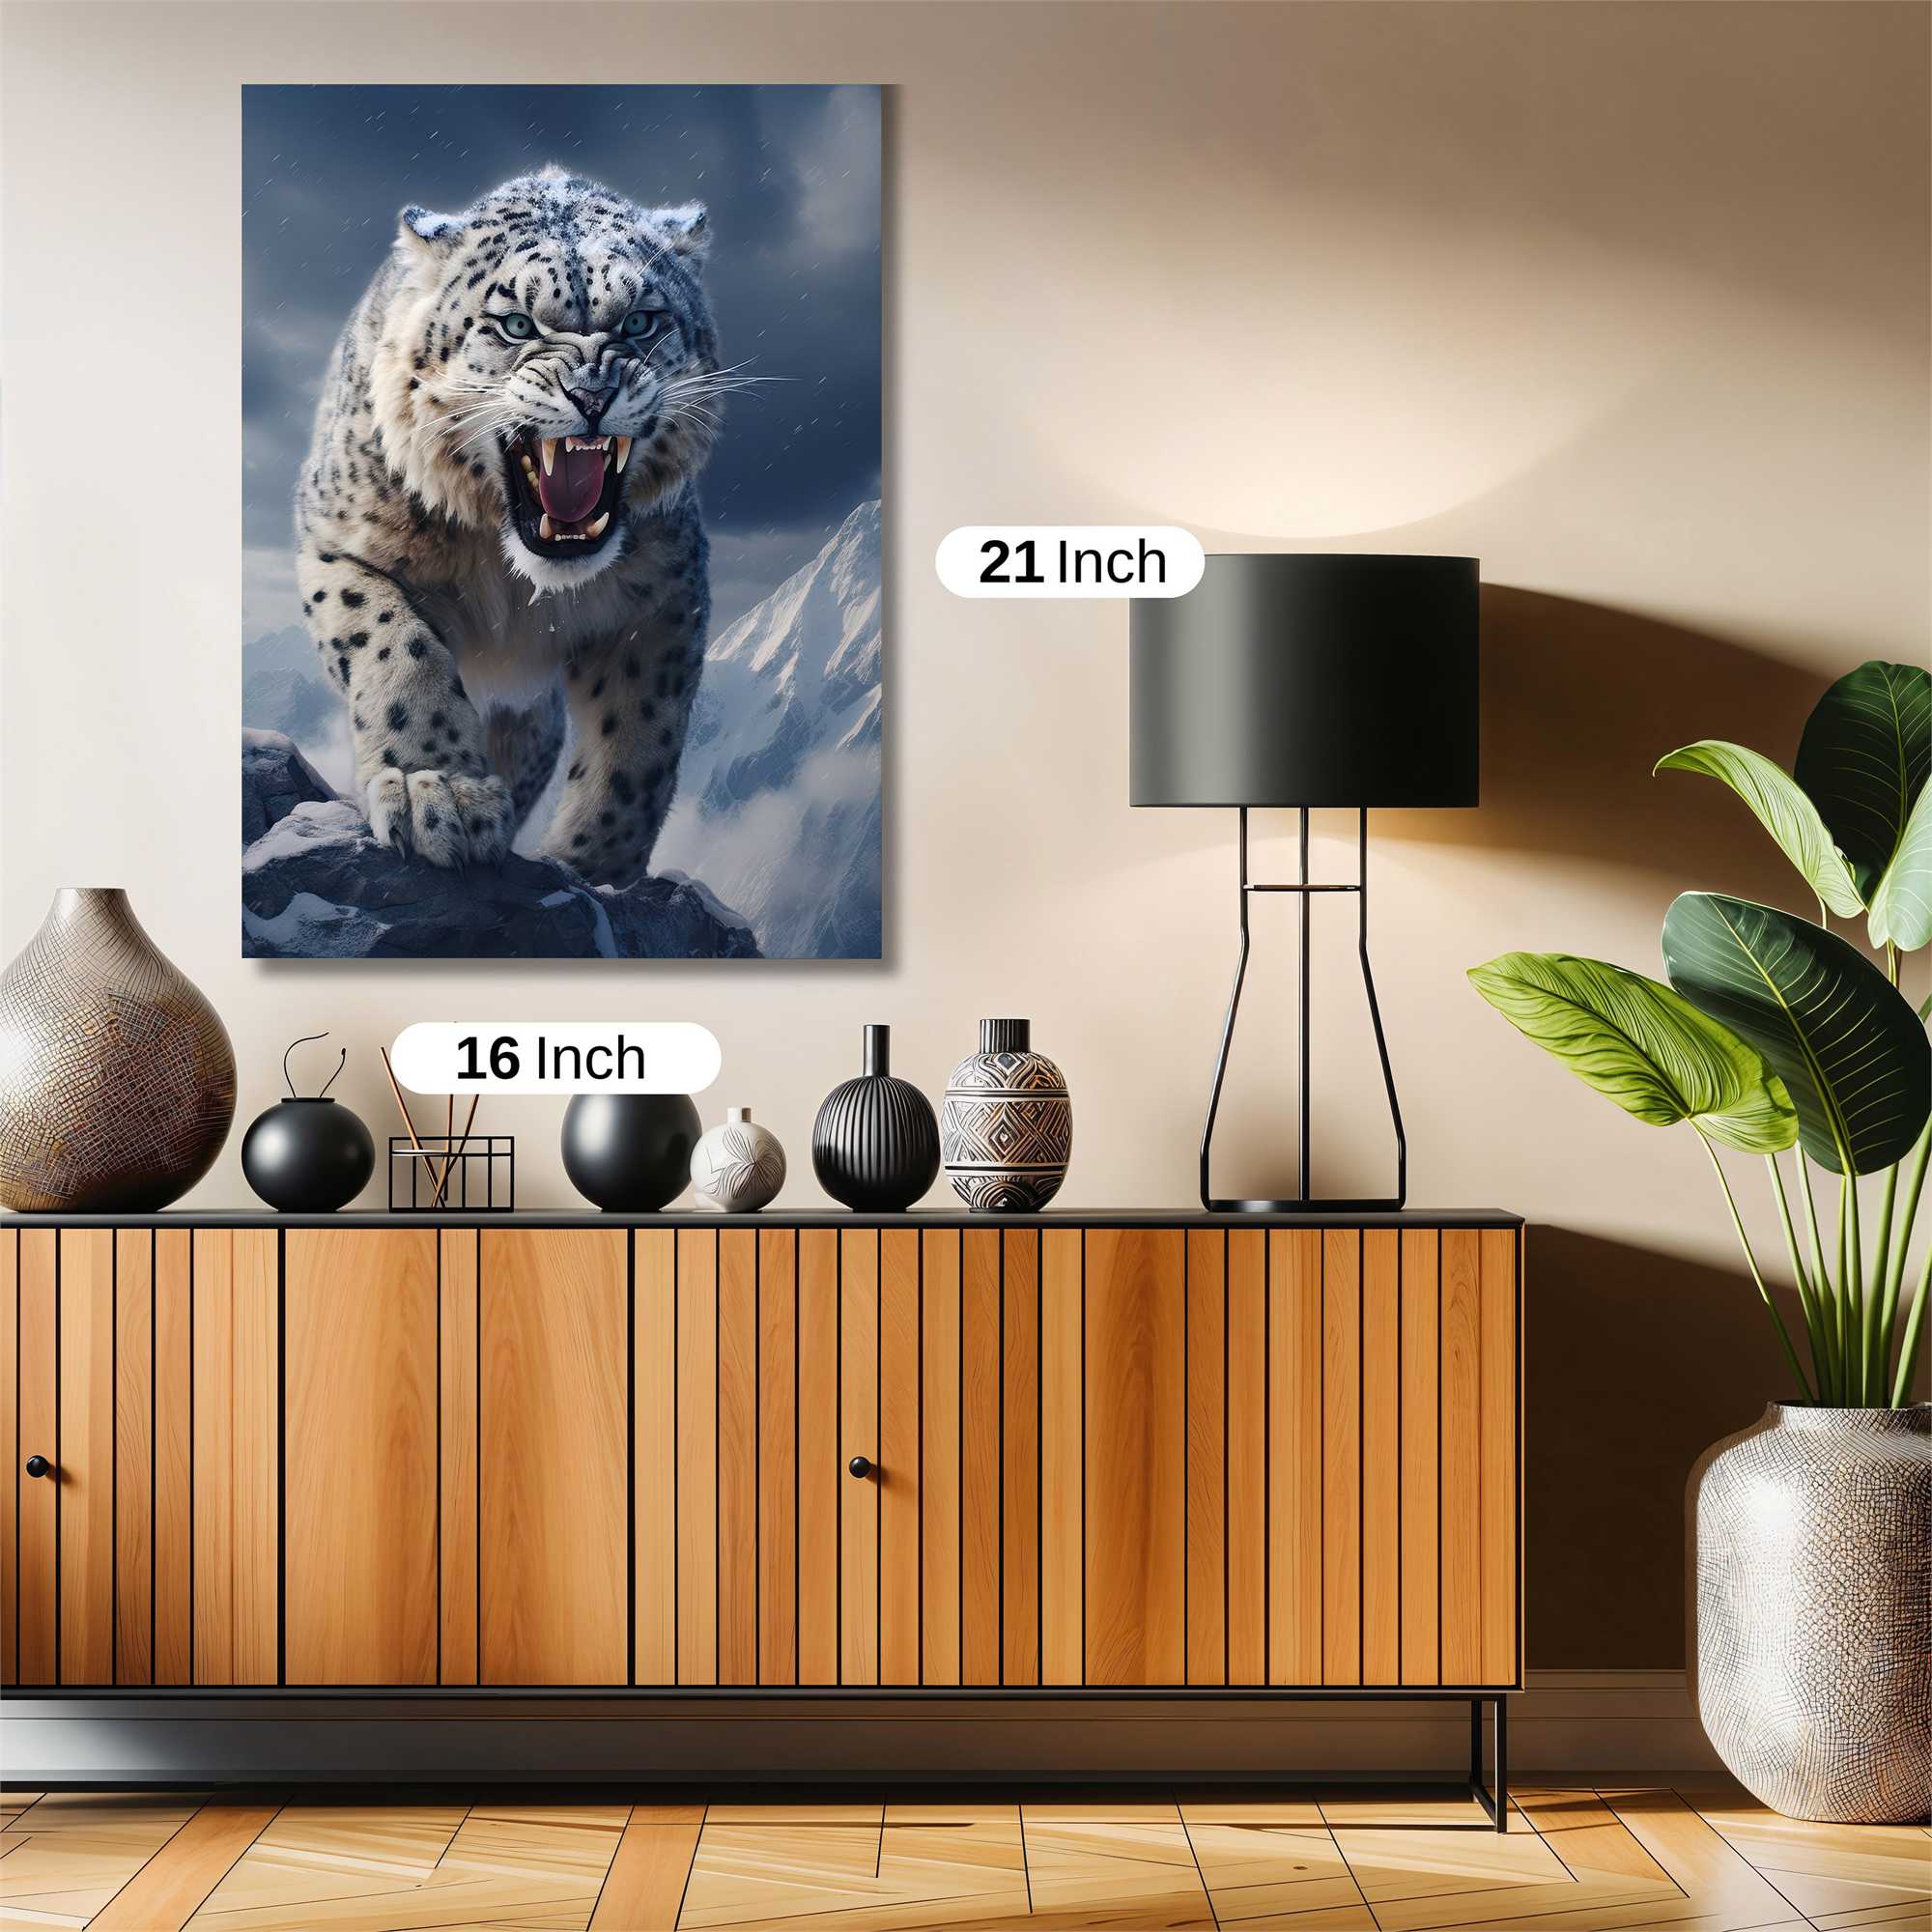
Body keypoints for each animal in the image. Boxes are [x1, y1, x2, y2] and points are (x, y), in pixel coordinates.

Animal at [293, 163, 728, 881]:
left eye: (641, 321)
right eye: (517, 324)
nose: (592, 393)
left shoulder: (667, 596)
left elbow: (639, 744)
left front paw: (593, 863)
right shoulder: (337, 546)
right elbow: (393, 643)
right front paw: (435, 788)